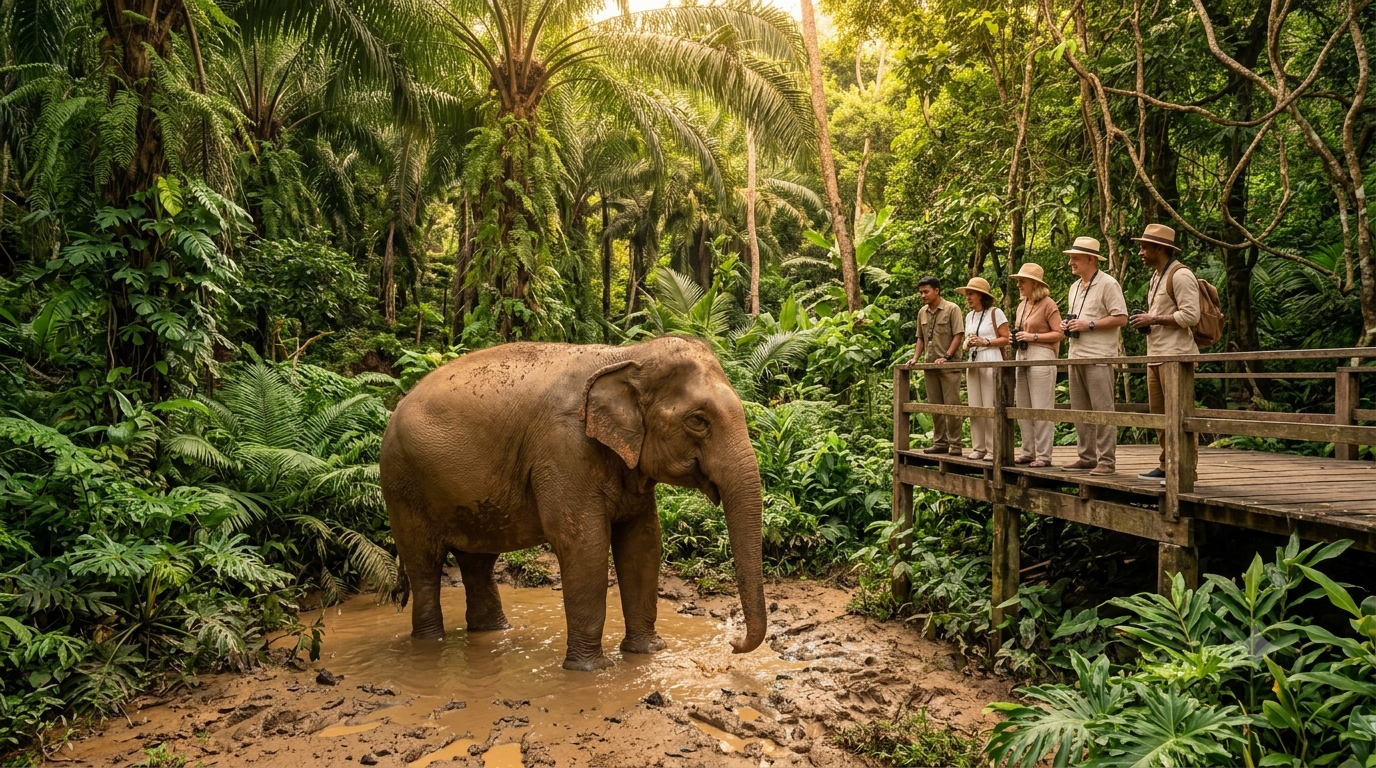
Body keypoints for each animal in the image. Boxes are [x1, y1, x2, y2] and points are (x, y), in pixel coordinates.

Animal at [379, 335, 766, 671]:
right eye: (698, 421)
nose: (733, 644)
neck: (627, 355)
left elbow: (643, 543)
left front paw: (648, 653)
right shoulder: (563, 449)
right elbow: (585, 544)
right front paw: (590, 670)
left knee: (478, 562)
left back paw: (492, 634)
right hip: (402, 485)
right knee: (425, 565)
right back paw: (429, 645)